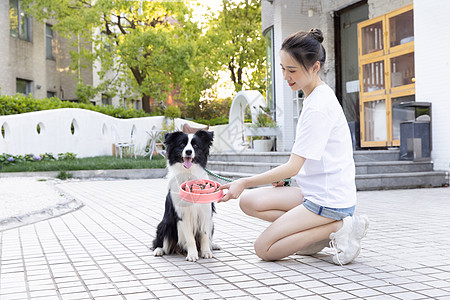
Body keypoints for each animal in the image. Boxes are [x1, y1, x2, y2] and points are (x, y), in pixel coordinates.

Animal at [153, 130, 220, 262]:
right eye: (181, 144)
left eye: (195, 146)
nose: (188, 151)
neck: (189, 175)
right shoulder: (183, 215)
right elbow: (190, 238)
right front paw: (193, 254)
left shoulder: (205, 212)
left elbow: (204, 235)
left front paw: (206, 252)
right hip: (166, 224)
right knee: (161, 242)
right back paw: (158, 250)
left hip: (212, 224)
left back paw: (213, 245)